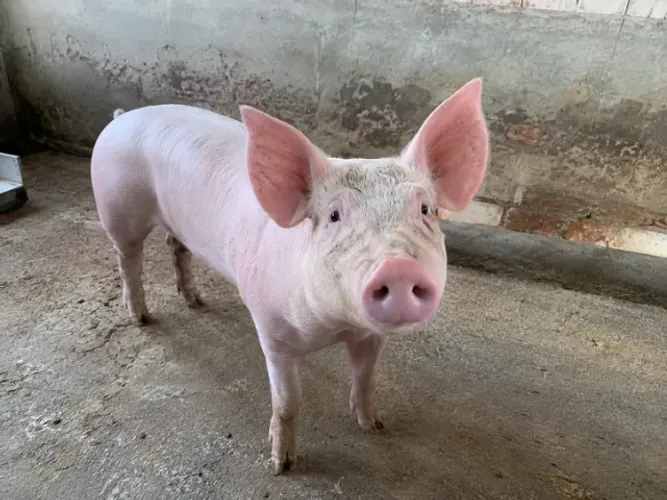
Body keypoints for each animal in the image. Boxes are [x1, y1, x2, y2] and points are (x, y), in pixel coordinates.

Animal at [90, 78, 489, 474]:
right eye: (333, 216)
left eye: (425, 209)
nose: (398, 267)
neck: (334, 328)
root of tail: (122, 117)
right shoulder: (272, 333)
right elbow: (288, 402)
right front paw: (282, 464)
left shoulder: (370, 335)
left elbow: (365, 378)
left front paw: (374, 425)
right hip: (117, 208)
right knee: (129, 259)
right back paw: (142, 318)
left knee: (176, 247)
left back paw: (196, 301)